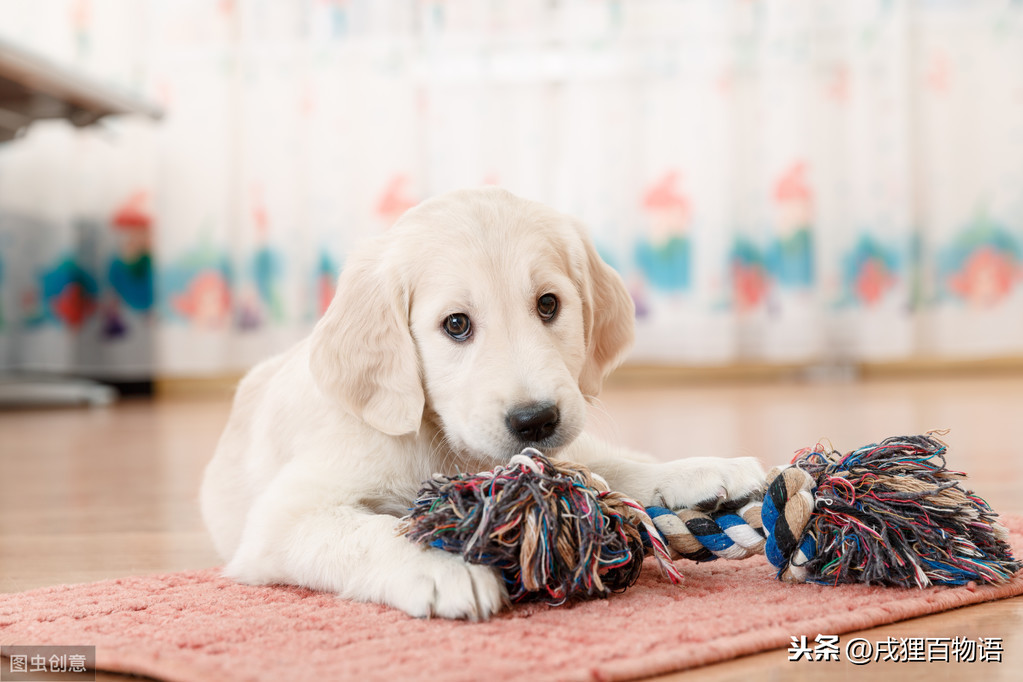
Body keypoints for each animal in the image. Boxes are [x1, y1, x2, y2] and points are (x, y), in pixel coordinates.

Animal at [199, 187, 765, 617]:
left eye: (548, 304)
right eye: (456, 324)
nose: (536, 421)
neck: (434, 436)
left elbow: (609, 473)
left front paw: (701, 473)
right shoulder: (281, 518)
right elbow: (371, 532)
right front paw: (444, 565)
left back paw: (712, 471)